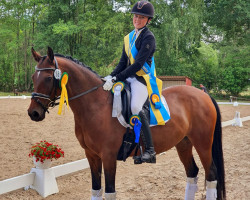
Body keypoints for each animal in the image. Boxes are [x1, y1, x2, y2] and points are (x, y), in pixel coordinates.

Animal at [27, 47, 227, 200]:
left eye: (48, 78)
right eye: (33, 77)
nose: (33, 113)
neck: (95, 104)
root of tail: (203, 94)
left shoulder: (108, 156)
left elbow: (109, 192)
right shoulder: (91, 155)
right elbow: (96, 190)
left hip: (202, 143)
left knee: (211, 175)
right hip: (183, 143)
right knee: (192, 173)